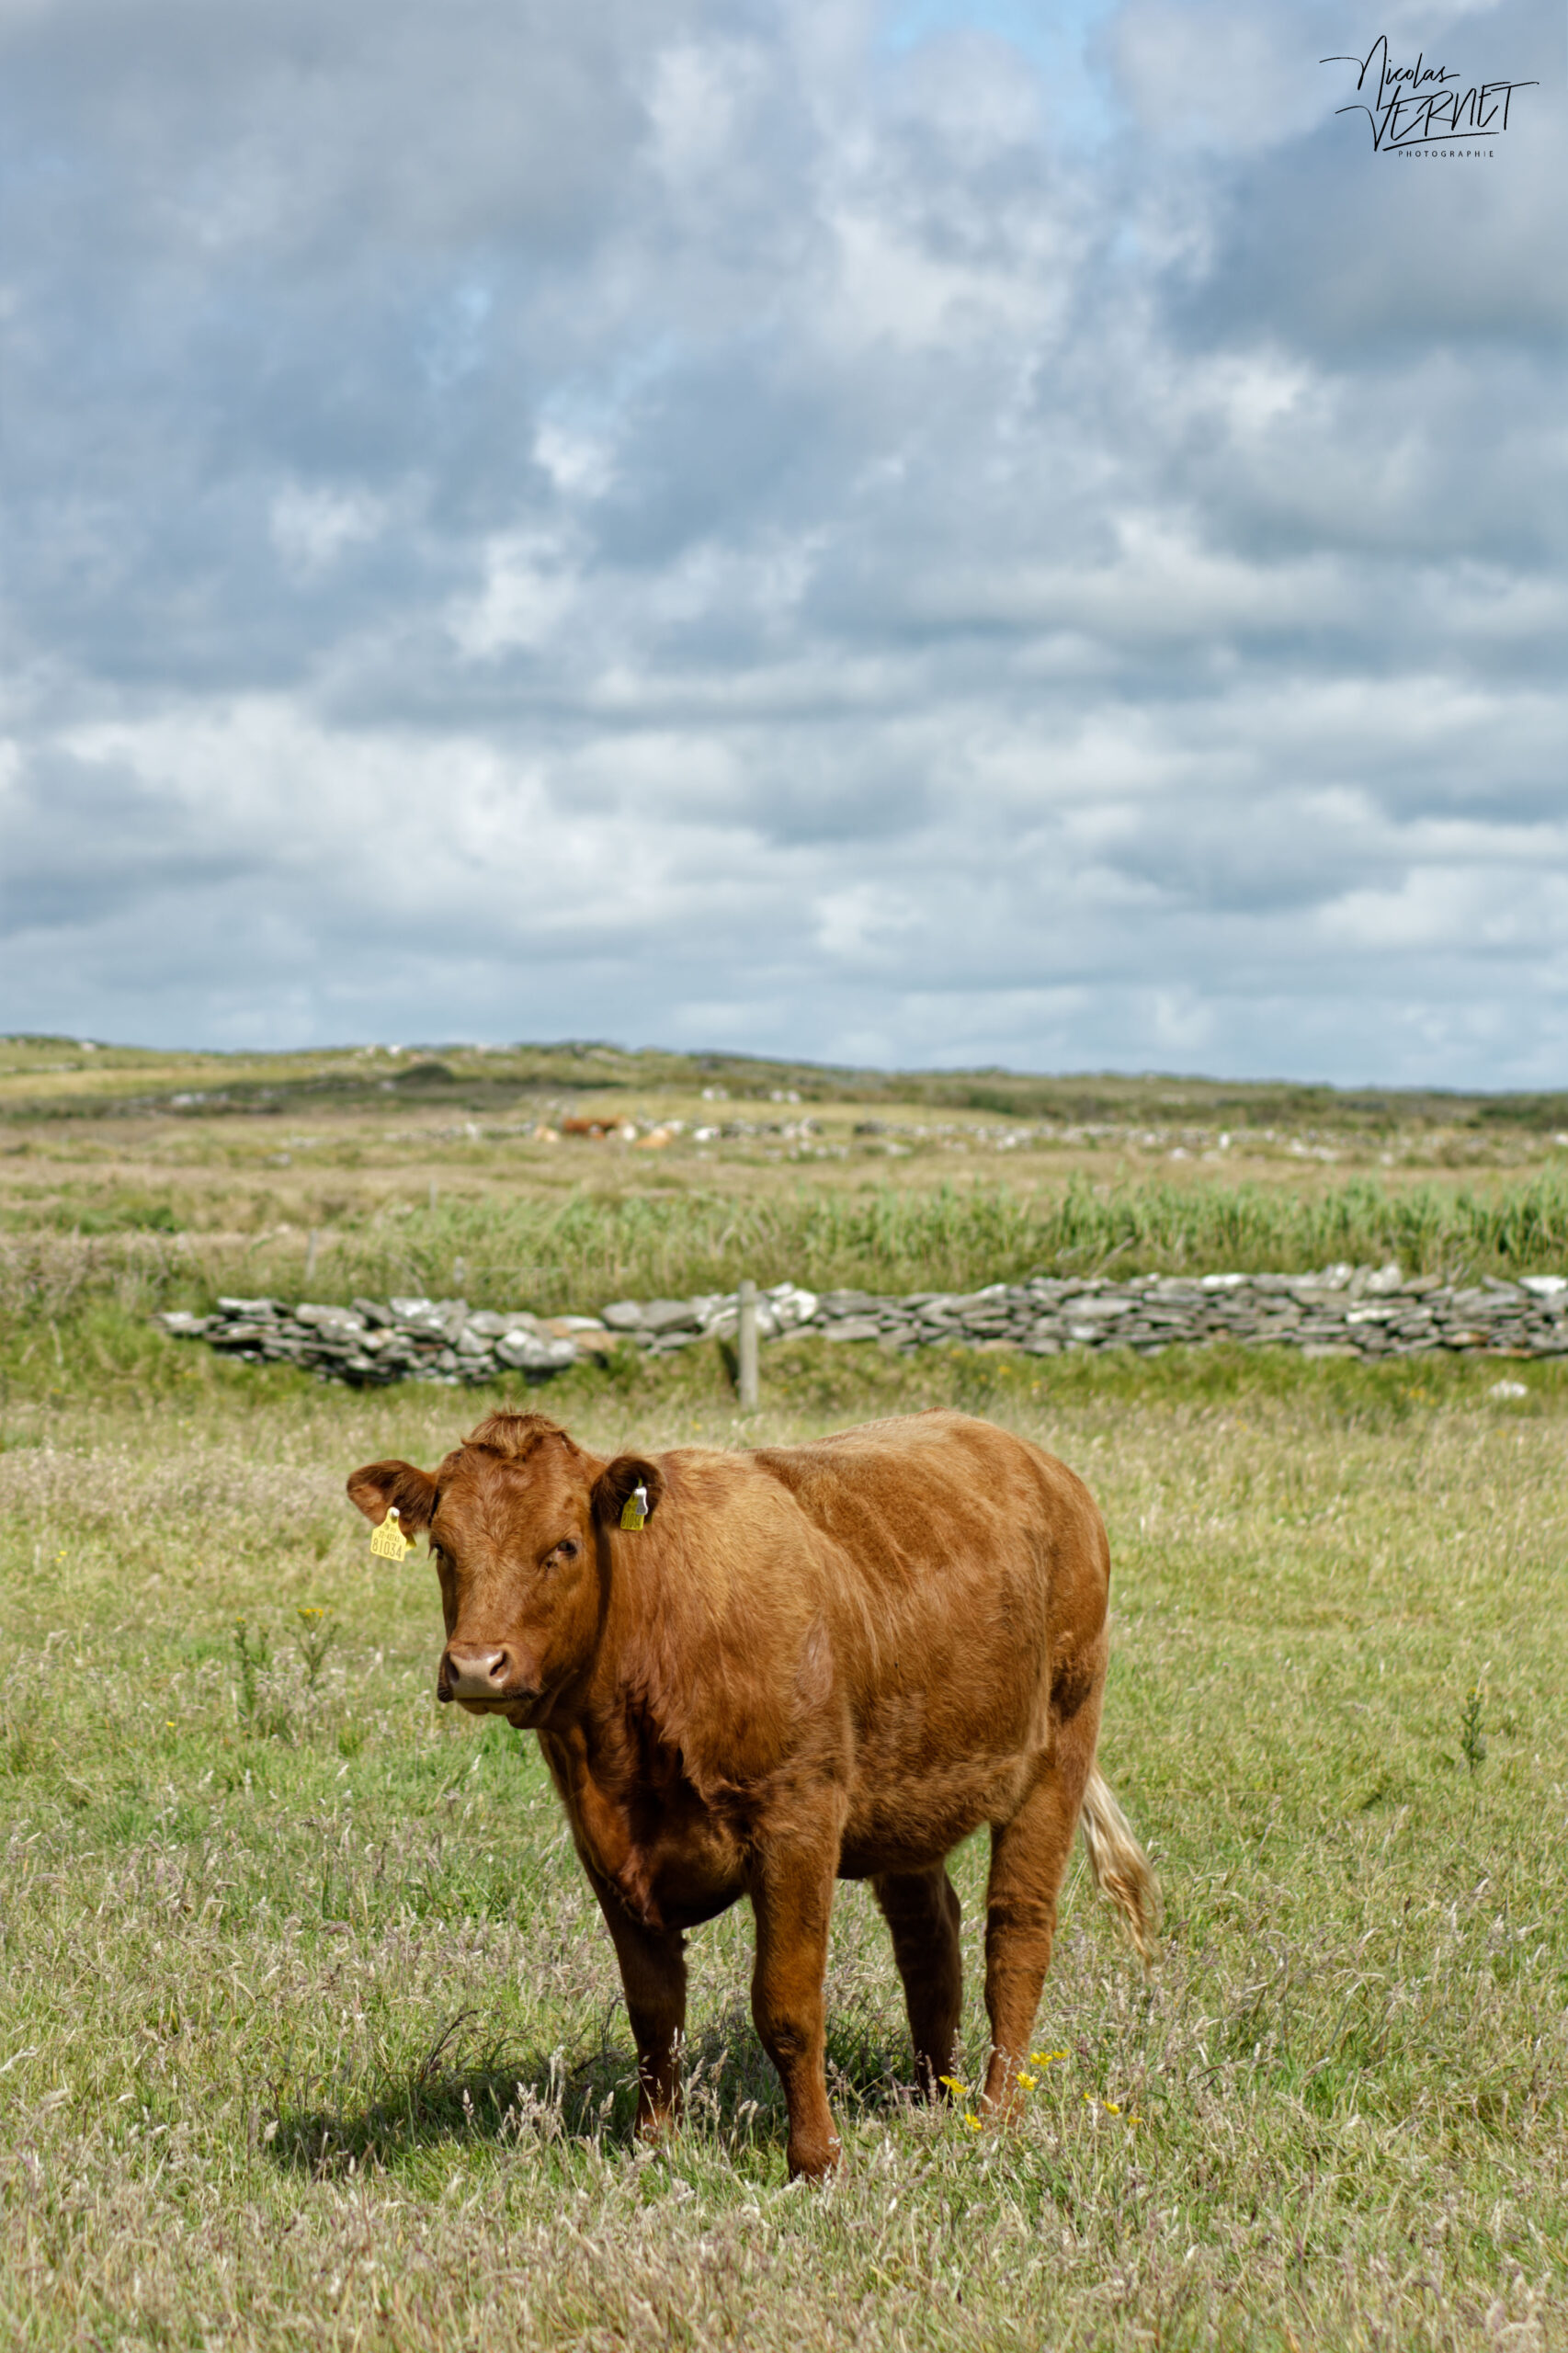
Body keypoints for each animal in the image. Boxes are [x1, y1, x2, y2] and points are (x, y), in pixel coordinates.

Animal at [347, 1408, 1157, 2179]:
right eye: (444, 1550)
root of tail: (1041, 1466)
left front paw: (816, 2160)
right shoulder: (601, 1845)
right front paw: (653, 2144)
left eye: (564, 1547)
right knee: (929, 1937)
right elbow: (654, 2010)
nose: (477, 1666)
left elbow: (787, 2006)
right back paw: (931, 2094)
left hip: (1058, 1750)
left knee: (1017, 1933)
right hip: (908, 1789)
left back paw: (994, 2116)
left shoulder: (797, 1825)